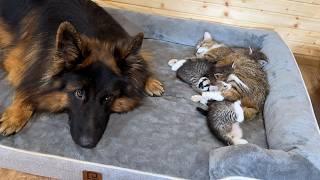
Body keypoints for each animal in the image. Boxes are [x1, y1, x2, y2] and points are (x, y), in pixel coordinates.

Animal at [0, 0, 164, 148]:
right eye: (79, 93)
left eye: (108, 98)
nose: (87, 144)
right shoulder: (17, 61)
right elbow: (27, 86)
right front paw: (16, 114)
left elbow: (140, 65)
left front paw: (148, 79)